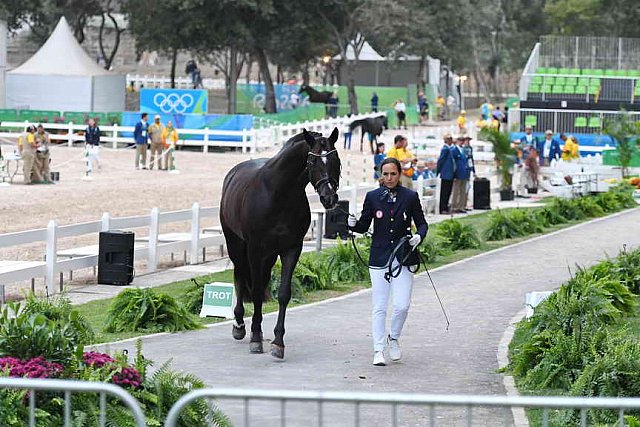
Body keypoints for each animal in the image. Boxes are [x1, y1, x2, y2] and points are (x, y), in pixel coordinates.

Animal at [219, 129, 340, 360]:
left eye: (336, 160)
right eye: (312, 161)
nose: (329, 197)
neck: (279, 194)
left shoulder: (291, 249)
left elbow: (283, 294)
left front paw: (277, 342)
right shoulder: (255, 250)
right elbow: (257, 292)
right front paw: (256, 340)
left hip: (268, 256)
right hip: (236, 245)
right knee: (240, 275)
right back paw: (239, 325)